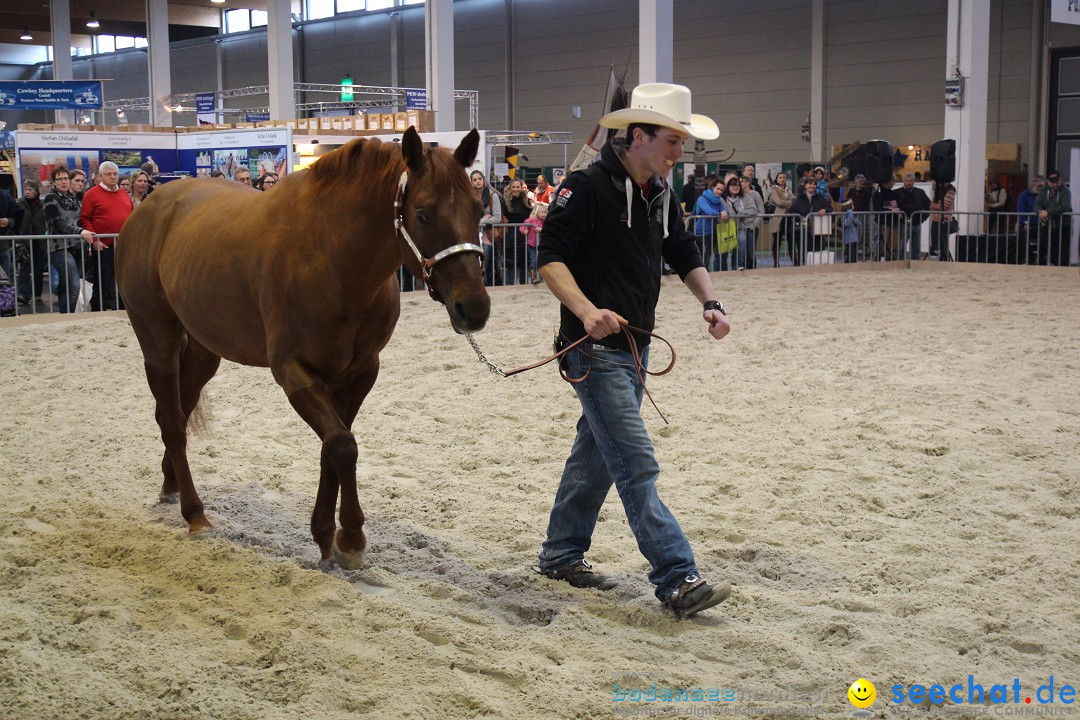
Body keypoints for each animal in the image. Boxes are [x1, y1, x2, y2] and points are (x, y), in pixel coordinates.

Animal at [117, 127, 490, 569]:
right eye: (423, 214)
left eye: (478, 209)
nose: (474, 308)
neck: (332, 260)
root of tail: (150, 206)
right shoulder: (293, 371)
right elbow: (343, 446)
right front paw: (351, 539)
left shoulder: (359, 373)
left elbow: (334, 445)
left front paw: (327, 535)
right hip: (158, 338)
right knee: (173, 422)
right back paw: (195, 514)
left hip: (206, 349)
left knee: (178, 409)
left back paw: (170, 483)